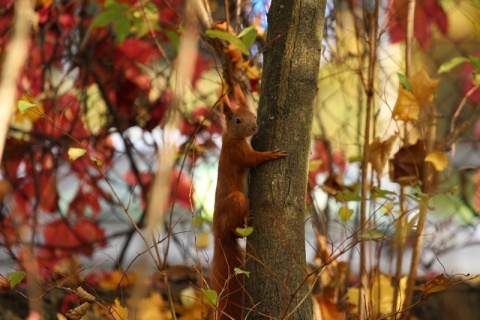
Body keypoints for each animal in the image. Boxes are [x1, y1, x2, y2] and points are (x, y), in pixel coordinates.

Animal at [210, 86, 284, 318]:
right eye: (237, 120)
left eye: (252, 114)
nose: (254, 126)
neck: (231, 137)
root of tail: (218, 232)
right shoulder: (238, 153)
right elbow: (253, 159)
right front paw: (271, 154)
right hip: (237, 201)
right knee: (234, 229)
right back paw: (244, 221)